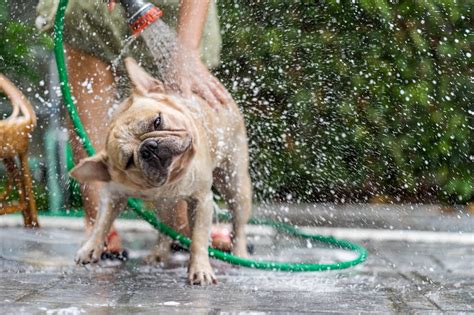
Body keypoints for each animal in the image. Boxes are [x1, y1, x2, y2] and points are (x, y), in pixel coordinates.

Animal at [70, 57, 252, 286]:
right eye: (128, 161)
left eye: (157, 121)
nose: (148, 148)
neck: (173, 177)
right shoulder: (113, 193)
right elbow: (102, 221)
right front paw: (91, 247)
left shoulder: (201, 200)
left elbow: (198, 239)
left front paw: (200, 269)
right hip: (164, 205)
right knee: (166, 226)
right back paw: (158, 253)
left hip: (235, 186)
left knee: (238, 224)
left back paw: (239, 255)